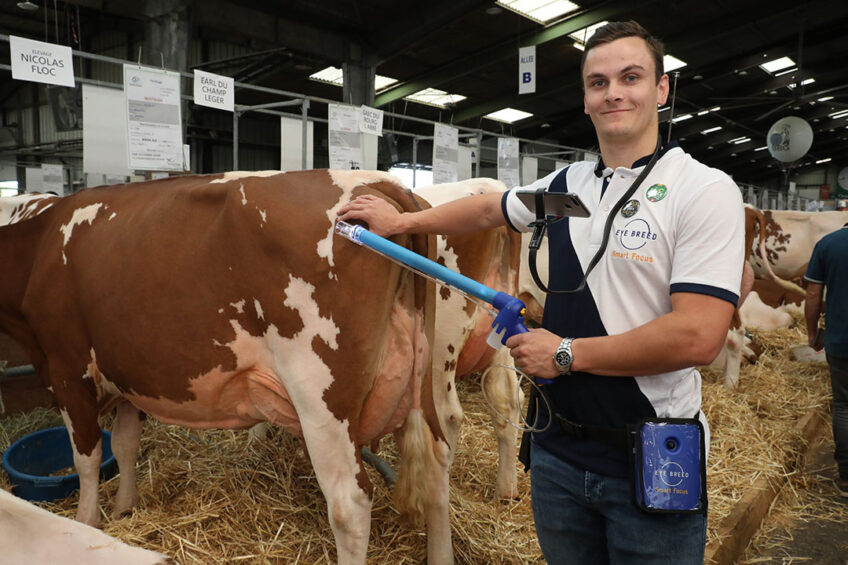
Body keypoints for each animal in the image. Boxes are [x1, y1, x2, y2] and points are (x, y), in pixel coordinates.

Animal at [0, 171, 458, 564]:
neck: (38, 242)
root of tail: (377, 183)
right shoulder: (128, 372)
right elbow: (126, 445)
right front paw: (125, 509)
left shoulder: (66, 367)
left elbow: (88, 458)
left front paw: (87, 523)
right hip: (424, 376)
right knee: (437, 466)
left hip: (321, 394)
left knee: (350, 503)